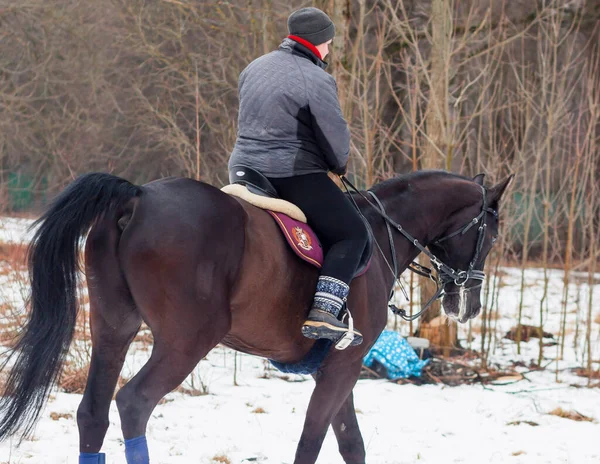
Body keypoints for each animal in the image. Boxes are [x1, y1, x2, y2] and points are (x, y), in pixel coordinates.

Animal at [0, 170, 510, 464]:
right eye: (492, 231)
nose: (467, 305)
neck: (380, 233)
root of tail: (138, 197)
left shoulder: (336, 365)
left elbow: (350, 443)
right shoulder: (346, 364)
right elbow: (312, 439)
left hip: (113, 329)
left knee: (93, 414)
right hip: (186, 340)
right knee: (135, 404)